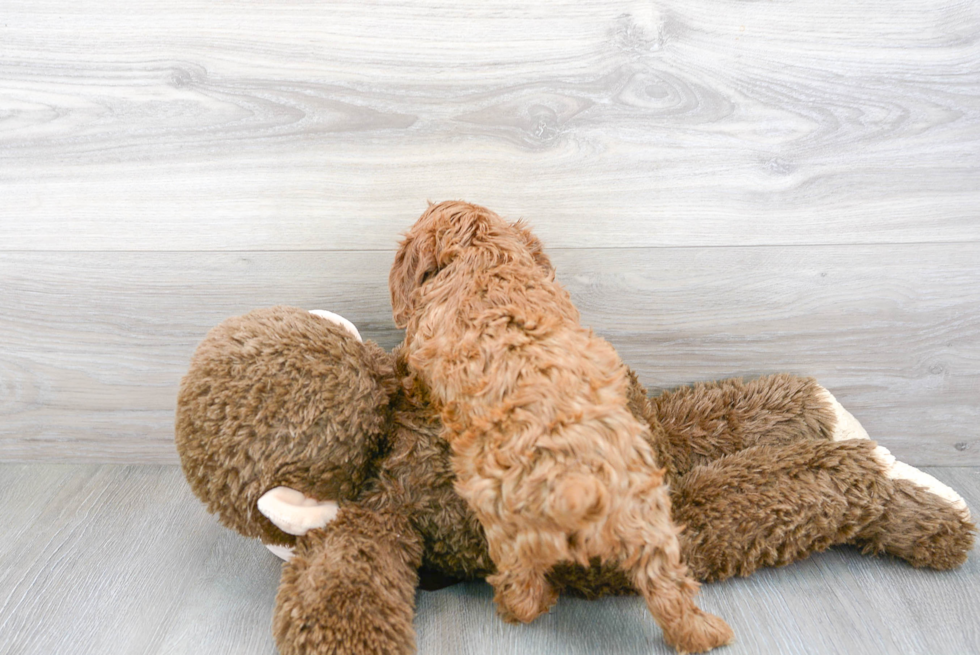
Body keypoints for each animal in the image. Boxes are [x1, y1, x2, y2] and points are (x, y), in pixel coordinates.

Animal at [390, 202, 736, 652]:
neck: (482, 257)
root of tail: (579, 480)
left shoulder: (422, 347)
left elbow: (414, 374)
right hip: (648, 520)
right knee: (668, 588)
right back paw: (705, 631)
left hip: (505, 527)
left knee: (522, 591)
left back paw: (525, 602)